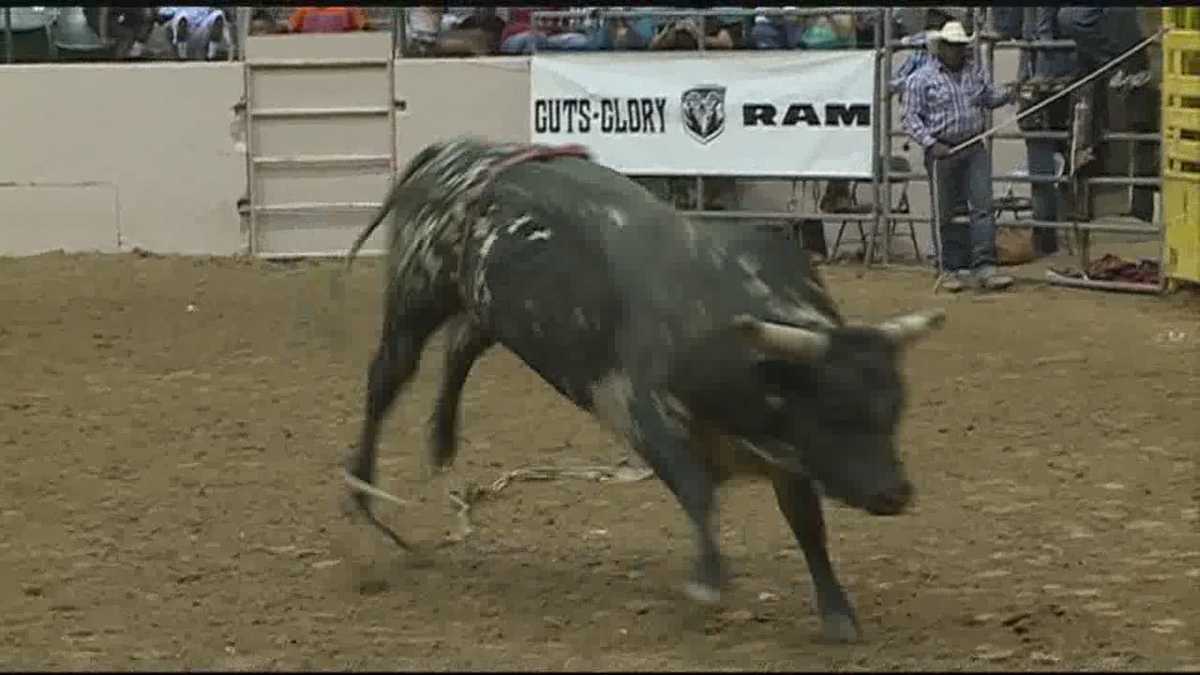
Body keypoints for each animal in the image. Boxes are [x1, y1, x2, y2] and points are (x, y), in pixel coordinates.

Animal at [340, 136, 945, 638]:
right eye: (834, 412)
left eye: (893, 411)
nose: (896, 492)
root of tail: (459, 151)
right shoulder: (645, 419)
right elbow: (698, 493)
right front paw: (708, 578)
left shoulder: (788, 458)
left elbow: (808, 527)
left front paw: (838, 612)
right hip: (417, 293)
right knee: (386, 378)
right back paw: (362, 490)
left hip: (490, 308)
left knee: (460, 348)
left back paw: (441, 440)